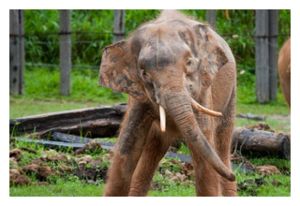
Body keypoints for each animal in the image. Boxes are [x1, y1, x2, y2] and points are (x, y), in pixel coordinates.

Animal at [99, 10, 238, 196]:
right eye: (144, 73)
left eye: (189, 63)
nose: (233, 175)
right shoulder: (138, 98)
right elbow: (126, 147)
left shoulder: (203, 90)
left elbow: (204, 151)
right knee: (152, 150)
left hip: (231, 95)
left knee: (222, 144)